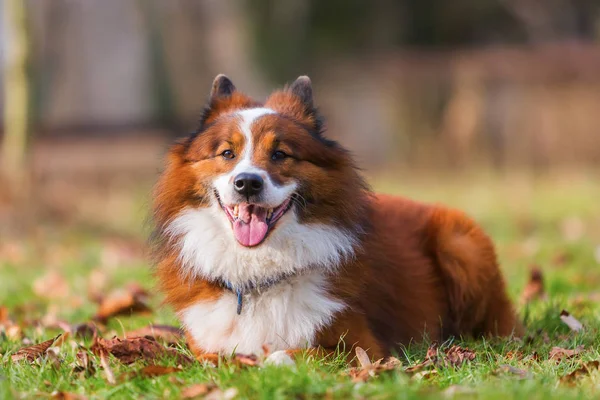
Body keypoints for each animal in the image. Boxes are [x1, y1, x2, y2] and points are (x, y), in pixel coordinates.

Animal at [152, 73, 524, 360]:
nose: (247, 183)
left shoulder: (362, 349)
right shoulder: (206, 348)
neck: (258, 279)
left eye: (280, 154)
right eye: (227, 153)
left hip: (460, 243)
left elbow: (282, 354)